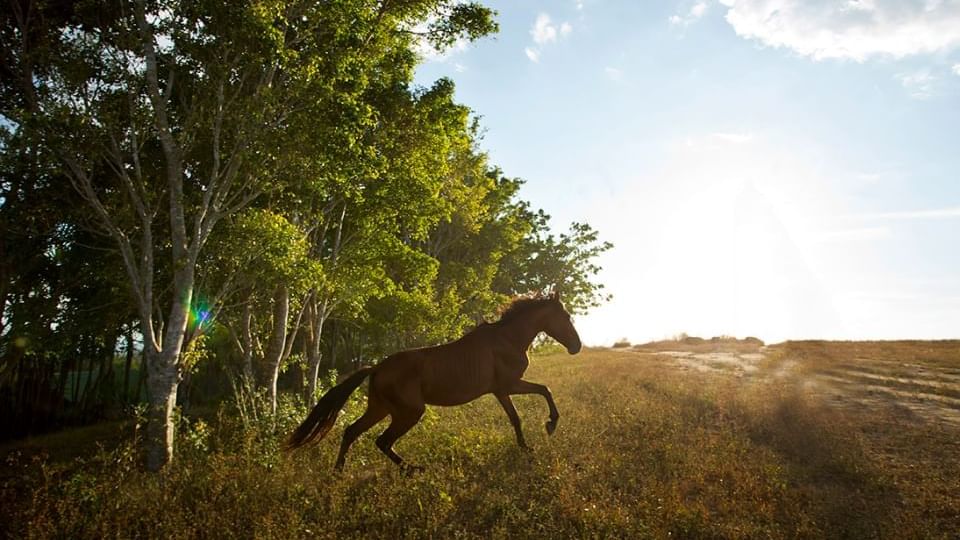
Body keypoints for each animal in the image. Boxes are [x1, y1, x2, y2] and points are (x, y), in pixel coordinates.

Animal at [284, 292, 580, 468]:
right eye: (565, 316)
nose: (577, 346)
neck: (507, 339)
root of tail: (377, 367)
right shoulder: (509, 385)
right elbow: (545, 390)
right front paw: (550, 425)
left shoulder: (500, 391)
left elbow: (516, 418)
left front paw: (526, 447)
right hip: (409, 412)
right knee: (381, 441)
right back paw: (412, 470)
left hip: (380, 409)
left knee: (352, 432)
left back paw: (339, 472)